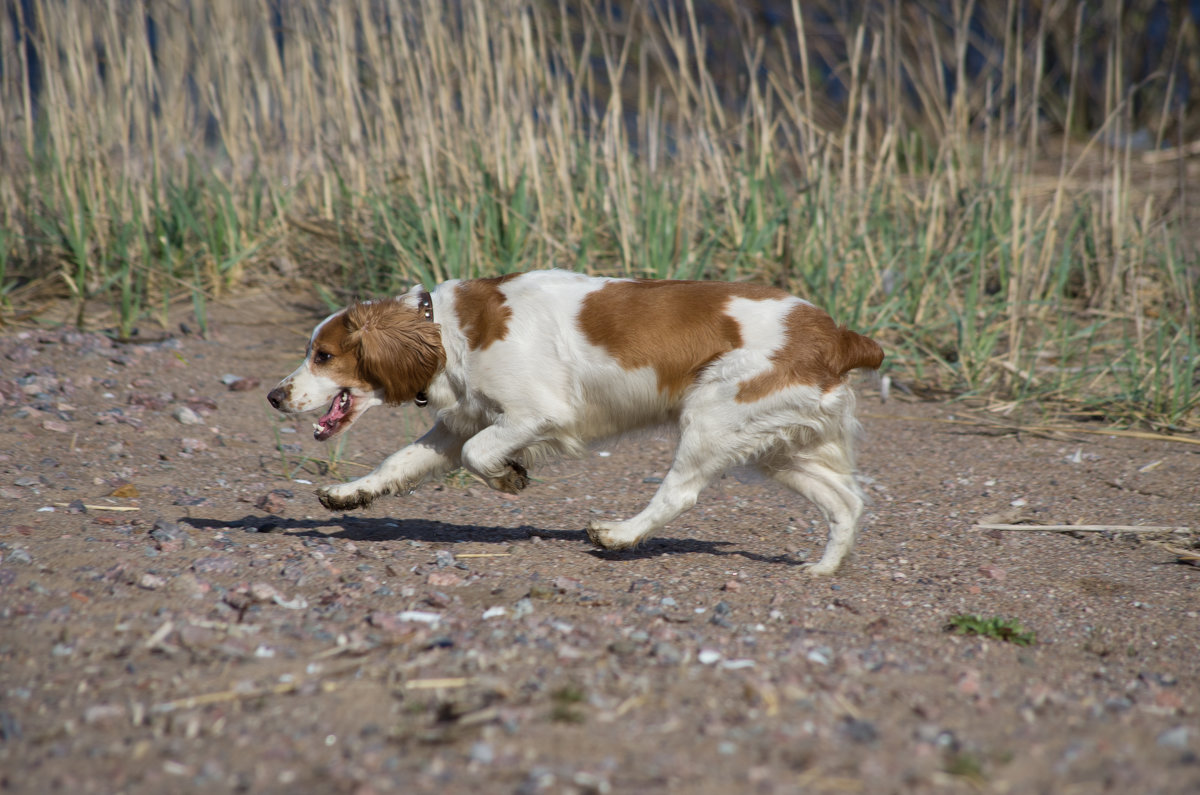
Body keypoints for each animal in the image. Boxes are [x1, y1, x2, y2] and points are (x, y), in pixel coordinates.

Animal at [265, 271, 883, 576]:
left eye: (323, 355)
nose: (273, 396)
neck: (445, 329)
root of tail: (837, 334)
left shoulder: (538, 413)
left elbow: (480, 454)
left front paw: (510, 476)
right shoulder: (463, 421)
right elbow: (401, 461)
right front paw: (350, 492)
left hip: (713, 415)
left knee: (679, 493)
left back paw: (619, 534)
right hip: (777, 445)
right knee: (847, 502)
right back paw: (824, 569)